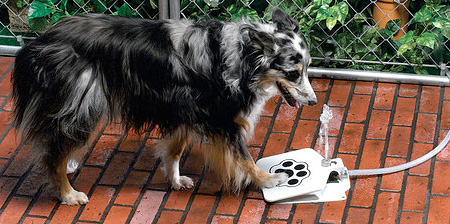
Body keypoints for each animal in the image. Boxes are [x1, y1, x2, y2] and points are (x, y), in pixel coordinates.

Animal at [12, 7, 318, 206]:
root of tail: (38, 42)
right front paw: (268, 180)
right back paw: (68, 194)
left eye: (308, 67)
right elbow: (244, 157)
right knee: (53, 155)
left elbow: (175, 149)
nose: (314, 102)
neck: (244, 55)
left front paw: (175, 180)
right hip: (81, 104)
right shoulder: (219, 119)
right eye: (293, 73)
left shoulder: (184, 108)